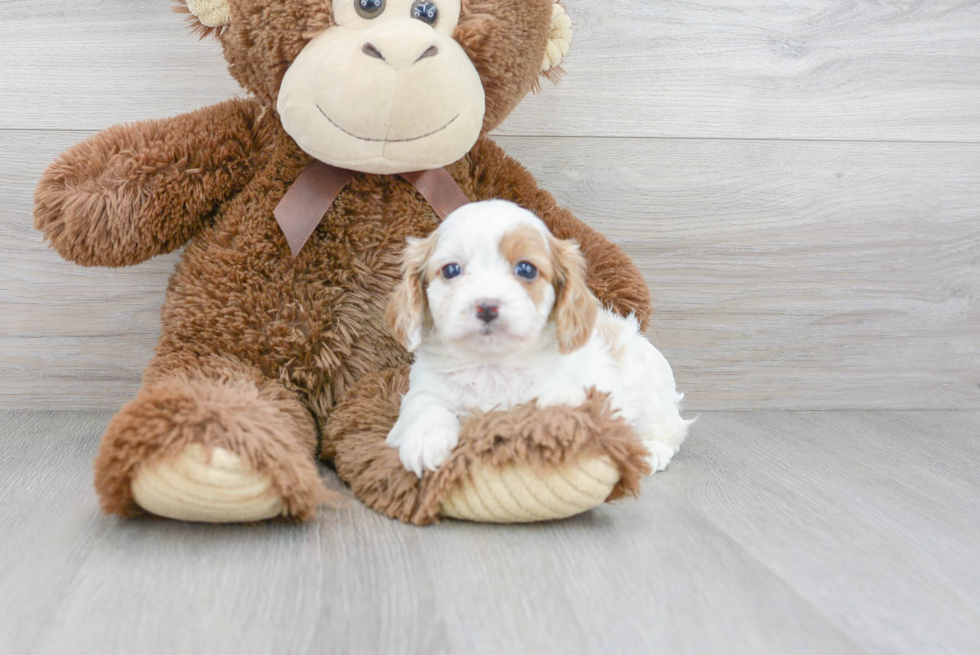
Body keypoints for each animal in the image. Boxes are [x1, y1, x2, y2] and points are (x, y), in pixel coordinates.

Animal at [382, 200, 688, 476]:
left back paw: (652, 451)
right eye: (451, 270)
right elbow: (426, 408)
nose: (487, 306)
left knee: (670, 429)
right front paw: (425, 440)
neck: (492, 365)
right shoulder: (425, 389)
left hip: (650, 390)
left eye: (526, 269)